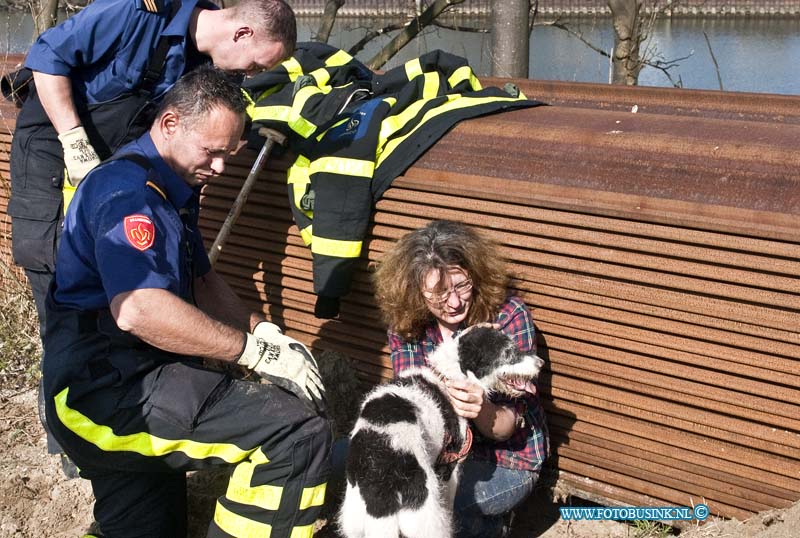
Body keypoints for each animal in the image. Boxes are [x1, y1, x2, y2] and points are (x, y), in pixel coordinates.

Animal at [338, 324, 544, 532]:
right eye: (508, 352)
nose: (541, 363)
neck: (447, 378)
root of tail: (379, 483)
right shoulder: (452, 464)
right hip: (426, 518)